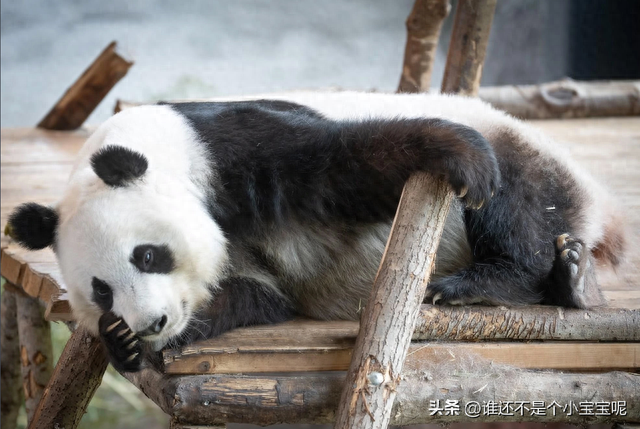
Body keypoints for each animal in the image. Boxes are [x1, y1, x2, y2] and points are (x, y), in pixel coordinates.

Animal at [6, 91, 624, 372]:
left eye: (147, 255)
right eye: (100, 291)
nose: (153, 322)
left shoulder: (233, 147)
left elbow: (346, 167)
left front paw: (456, 153)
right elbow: (258, 293)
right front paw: (128, 342)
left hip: (528, 156)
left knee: (519, 206)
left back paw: (509, 281)